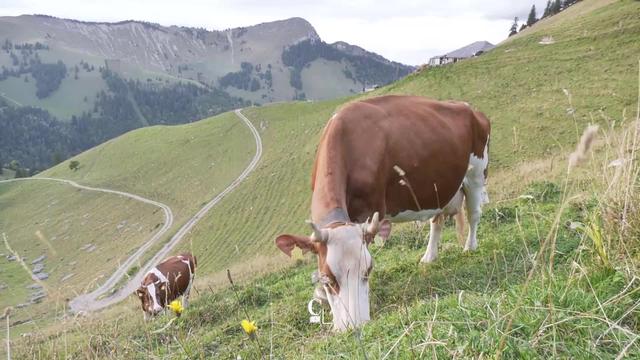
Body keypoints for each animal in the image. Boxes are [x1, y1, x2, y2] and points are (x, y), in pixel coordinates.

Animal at [274, 94, 490, 330]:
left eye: (368, 270)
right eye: (328, 277)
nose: (354, 326)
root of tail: (469, 108)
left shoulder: (371, 210)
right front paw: (321, 295)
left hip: (476, 173)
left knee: (474, 214)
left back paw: (470, 246)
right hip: (438, 188)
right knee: (437, 220)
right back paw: (429, 257)